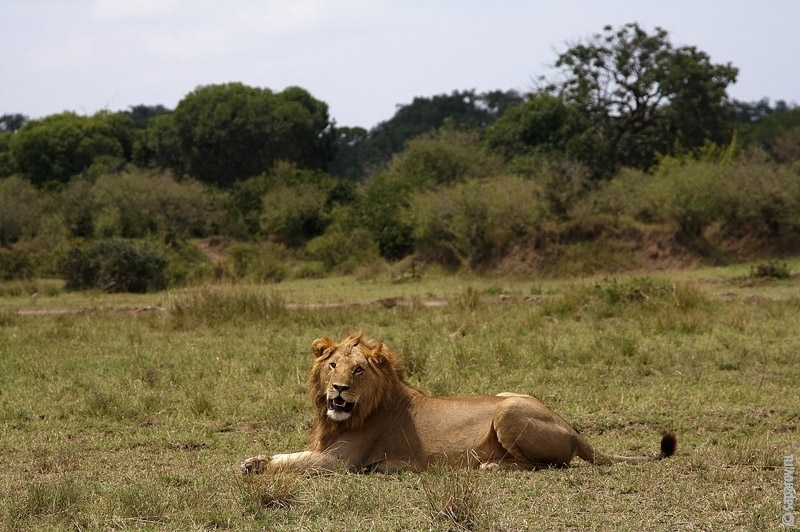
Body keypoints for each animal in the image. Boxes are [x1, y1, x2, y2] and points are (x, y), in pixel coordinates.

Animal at [242, 332, 676, 474]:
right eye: (333, 364)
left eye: (359, 369)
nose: (338, 388)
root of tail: (573, 428)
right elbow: (286, 453)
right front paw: (252, 459)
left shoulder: (340, 461)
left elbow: (292, 463)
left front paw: (254, 467)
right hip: (508, 395)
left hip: (508, 410)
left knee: (549, 464)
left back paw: (491, 467)